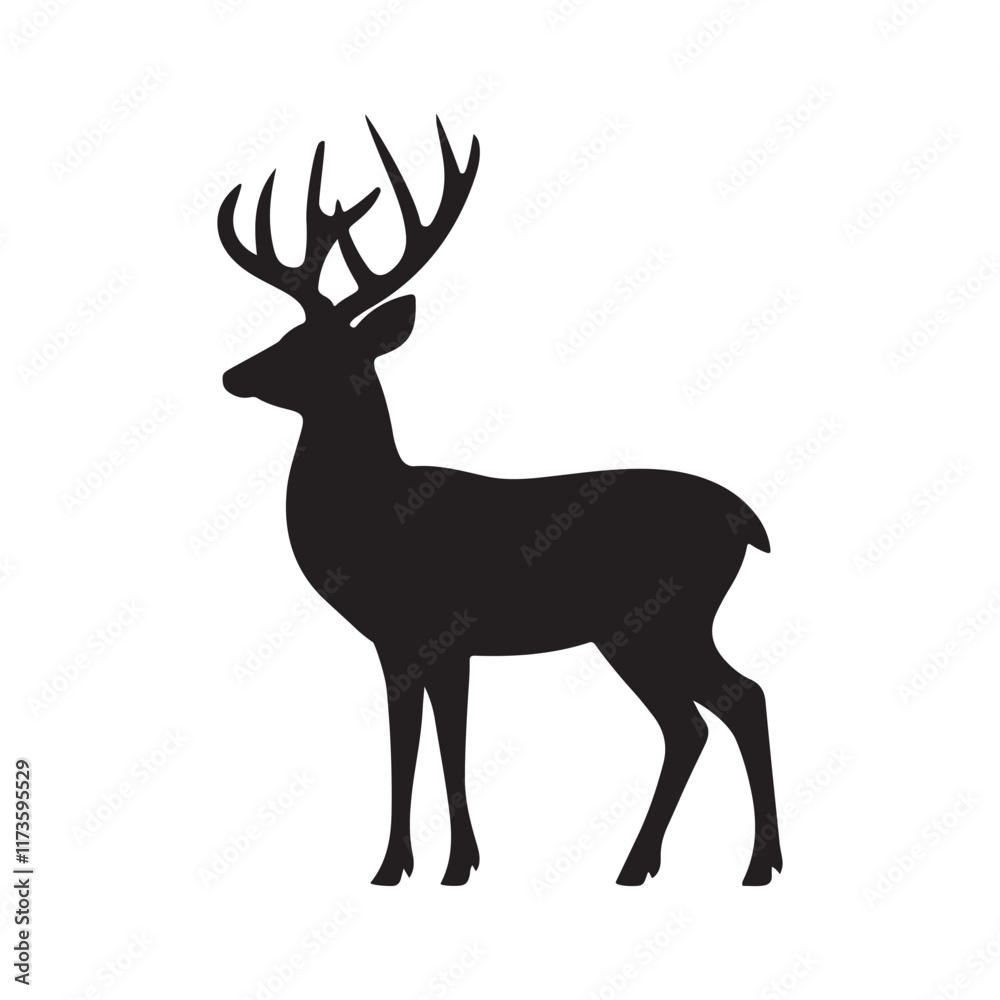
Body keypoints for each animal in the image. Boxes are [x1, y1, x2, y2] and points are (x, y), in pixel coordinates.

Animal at [217, 117, 782, 888]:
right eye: (287, 333)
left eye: (318, 346)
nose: (233, 374)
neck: (377, 517)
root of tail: (748, 522)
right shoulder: (411, 644)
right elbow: (425, 744)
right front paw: (423, 864)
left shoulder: (437, 630)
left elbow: (434, 747)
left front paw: (433, 867)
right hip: (645, 628)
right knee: (699, 718)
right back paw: (653, 865)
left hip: (662, 617)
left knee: (733, 702)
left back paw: (744, 866)